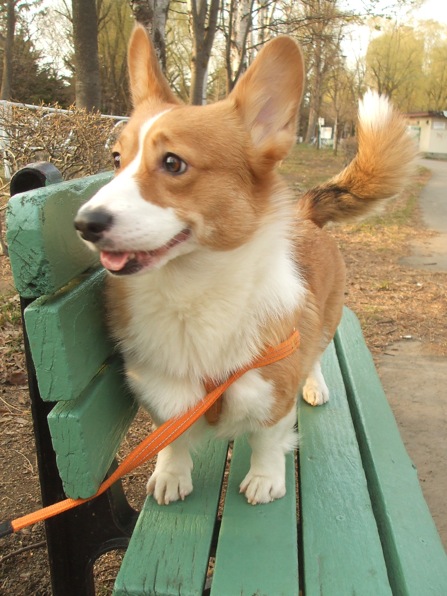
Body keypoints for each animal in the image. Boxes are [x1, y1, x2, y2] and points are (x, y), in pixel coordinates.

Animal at [74, 25, 415, 506]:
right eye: (117, 160)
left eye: (173, 163)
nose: (84, 223)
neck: (191, 294)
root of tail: (304, 213)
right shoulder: (163, 392)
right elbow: (171, 437)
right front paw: (171, 474)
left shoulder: (273, 391)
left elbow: (268, 438)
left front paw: (264, 479)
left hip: (325, 321)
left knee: (316, 356)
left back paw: (316, 386)